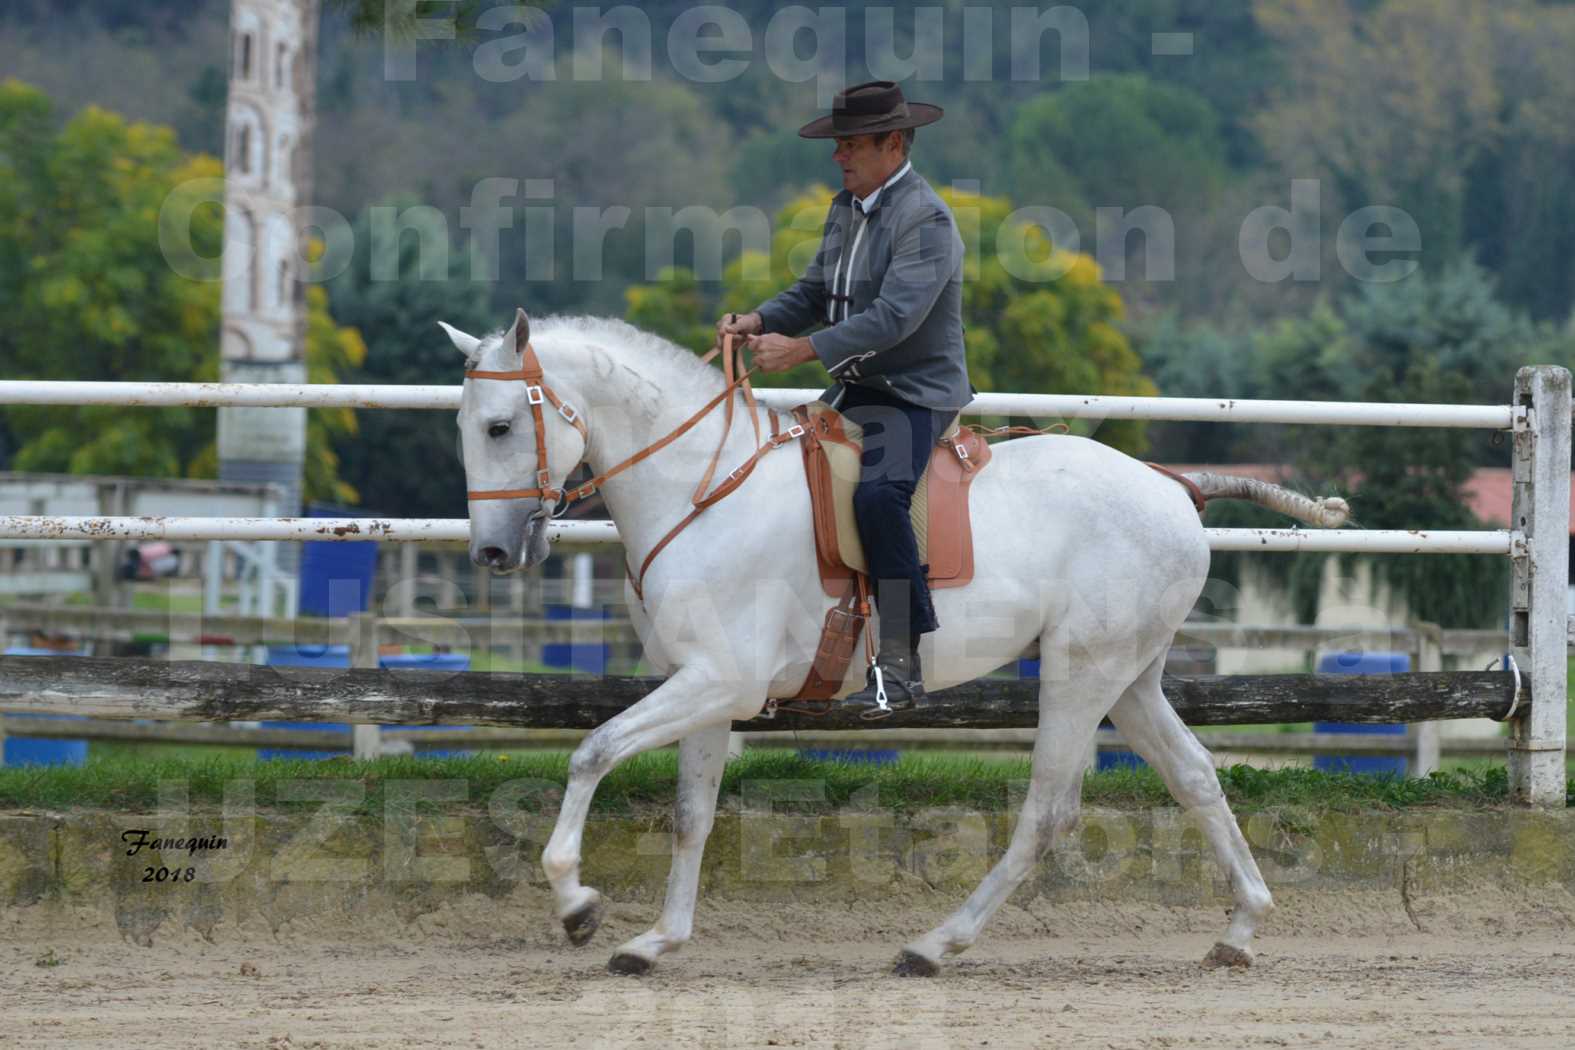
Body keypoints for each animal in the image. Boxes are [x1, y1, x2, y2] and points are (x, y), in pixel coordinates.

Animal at [447, 310, 1354, 976]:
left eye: (498, 426)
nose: (491, 554)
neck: (704, 490)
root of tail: (1173, 486)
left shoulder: (719, 683)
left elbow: (592, 752)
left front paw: (576, 904)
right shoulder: (703, 688)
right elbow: (690, 815)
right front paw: (655, 940)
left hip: (1081, 673)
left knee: (1047, 810)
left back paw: (935, 944)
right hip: (1130, 678)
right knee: (1194, 776)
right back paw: (1238, 929)